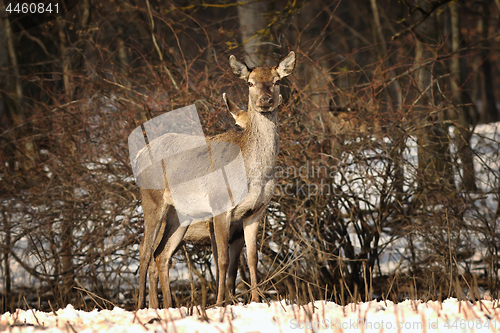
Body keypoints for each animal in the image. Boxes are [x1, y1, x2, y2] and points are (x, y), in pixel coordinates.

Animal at [136, 50, 296, 308]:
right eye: (249, 83)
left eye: (277, 81)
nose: (265, 100)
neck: (256, 172)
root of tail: (140, 154)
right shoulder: (220, 206)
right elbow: (222, 261)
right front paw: (221, 303)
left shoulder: (256, 211)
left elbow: (252, 259)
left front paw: (255, 300)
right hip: (152, 200)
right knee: (144, 250)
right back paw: (141, 306)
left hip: (180, 214)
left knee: (161, 254)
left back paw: (168, 307)